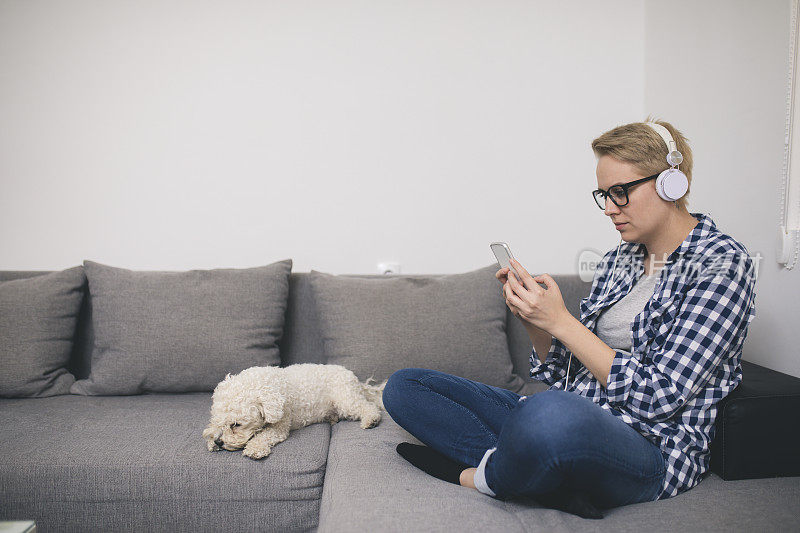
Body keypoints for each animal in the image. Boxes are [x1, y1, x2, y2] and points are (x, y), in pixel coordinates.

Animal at [200, 364, 388, 460]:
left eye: (236, 424)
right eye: (217, 421)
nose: (218, 442)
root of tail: (354, 379)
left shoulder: (281, 425)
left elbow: (265, 435)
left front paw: (255, 448)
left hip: (345, 399)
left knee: (366, 407)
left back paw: (371, 420)